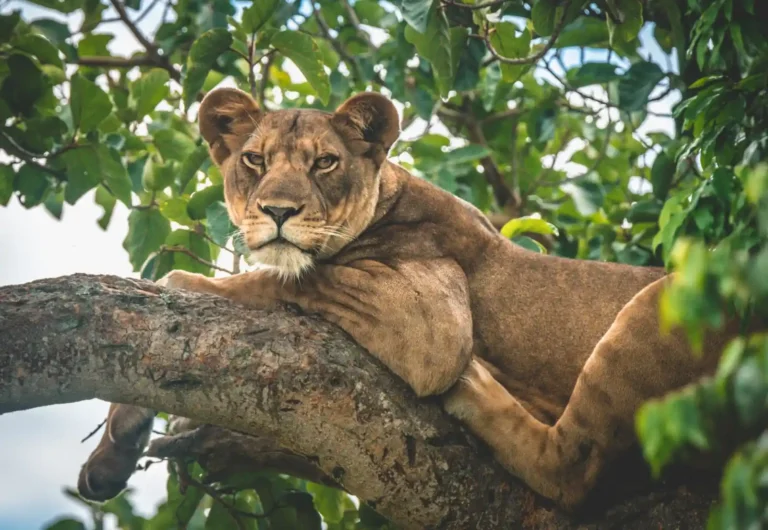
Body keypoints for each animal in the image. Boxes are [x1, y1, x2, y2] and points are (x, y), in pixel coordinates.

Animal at [77, 87, 751, 511]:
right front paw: (114, 455)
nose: (277, 211)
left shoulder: (433, 320)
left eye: (325, 163)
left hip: (664, 301)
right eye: (254, 159)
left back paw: (476, 388)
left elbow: (270, 280)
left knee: (571, 471)